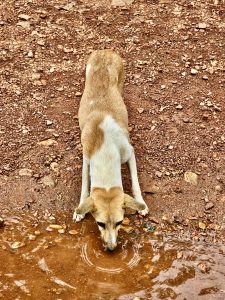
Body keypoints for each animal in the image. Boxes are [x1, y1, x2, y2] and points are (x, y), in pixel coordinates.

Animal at [73, 49, 149, 251]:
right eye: (100, 224)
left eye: (120, 222)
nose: (112, 248)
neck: (104, 149)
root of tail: (105, 51)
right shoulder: (86, 158)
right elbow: (84, 185)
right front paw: (80, 209)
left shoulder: (130, 153)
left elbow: (136, 182)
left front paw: (142, 204)